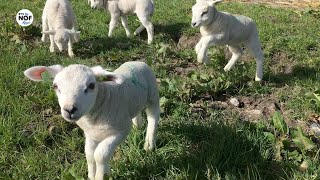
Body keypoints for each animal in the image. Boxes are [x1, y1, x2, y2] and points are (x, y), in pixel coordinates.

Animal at [23, 61, 160, 179]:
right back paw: (137, 126)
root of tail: (136, 61)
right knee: (136, 112)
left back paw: (149, 144)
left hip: (153, 95)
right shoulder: (91, 134)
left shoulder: (121, 131)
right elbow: (89, 155)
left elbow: (100, 155)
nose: (69, 109)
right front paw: (95, 174)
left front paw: (100, 175)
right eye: (55, 86)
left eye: (91, 85)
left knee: (153, 118)